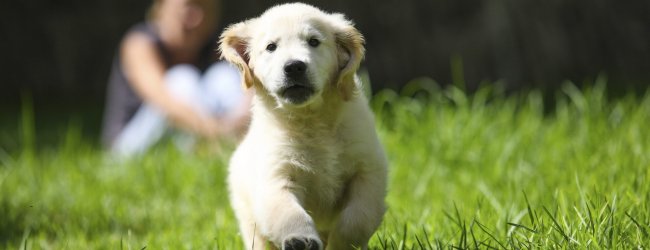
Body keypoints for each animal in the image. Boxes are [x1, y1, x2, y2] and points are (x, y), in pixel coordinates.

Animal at [220, 2, 388, 249]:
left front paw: (341, 243)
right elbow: (287, 213)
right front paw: (300, 239)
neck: (312, 119)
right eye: (271, 47)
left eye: (314, 41)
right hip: (248, 220)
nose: (294, 67)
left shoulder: (367, 169)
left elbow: (357, 218)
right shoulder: (275, 176)